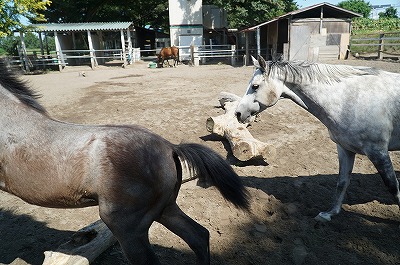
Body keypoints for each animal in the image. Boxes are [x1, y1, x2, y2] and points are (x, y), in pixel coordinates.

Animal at [236, 55, 398, 221]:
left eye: (255, 86)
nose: (238, 113)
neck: (349, 99)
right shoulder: (345, 149)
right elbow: (342, 182)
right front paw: (329, 213)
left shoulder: (377, 151)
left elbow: (392, 185)